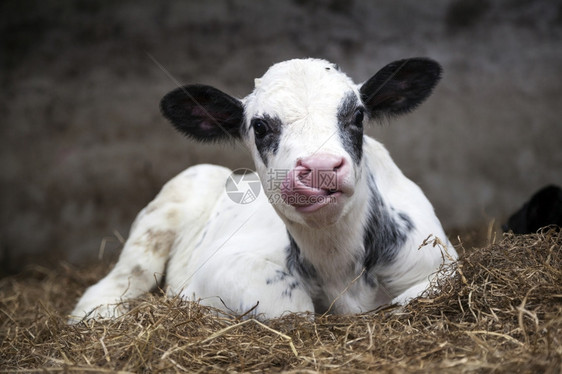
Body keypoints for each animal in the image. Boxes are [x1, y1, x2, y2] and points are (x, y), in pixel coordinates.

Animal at [69, 57, 456, 322]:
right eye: (260, 126)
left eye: (358, 115)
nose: (319, 167)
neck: (339, 269)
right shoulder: (222, 267)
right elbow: (290, 305)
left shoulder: (440, 263)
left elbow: (410, 299)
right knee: (113, 284)